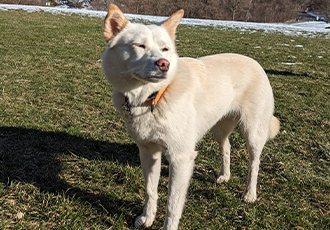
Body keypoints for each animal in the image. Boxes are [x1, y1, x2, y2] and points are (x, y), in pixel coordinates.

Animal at [101, 4, 278, 229]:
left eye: (165, 49)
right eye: (139, 45)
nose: (164, 64)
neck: (153, 97)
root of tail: (255, 62)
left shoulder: (181, 158)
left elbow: (172, 204)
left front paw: (167, 226)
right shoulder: (149, 152)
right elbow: (150, 190)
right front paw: (147, 217)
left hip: (253, 132)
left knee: (254, 163)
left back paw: (249, 194)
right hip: (219, 129)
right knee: (227, 147)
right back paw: (224, 176)